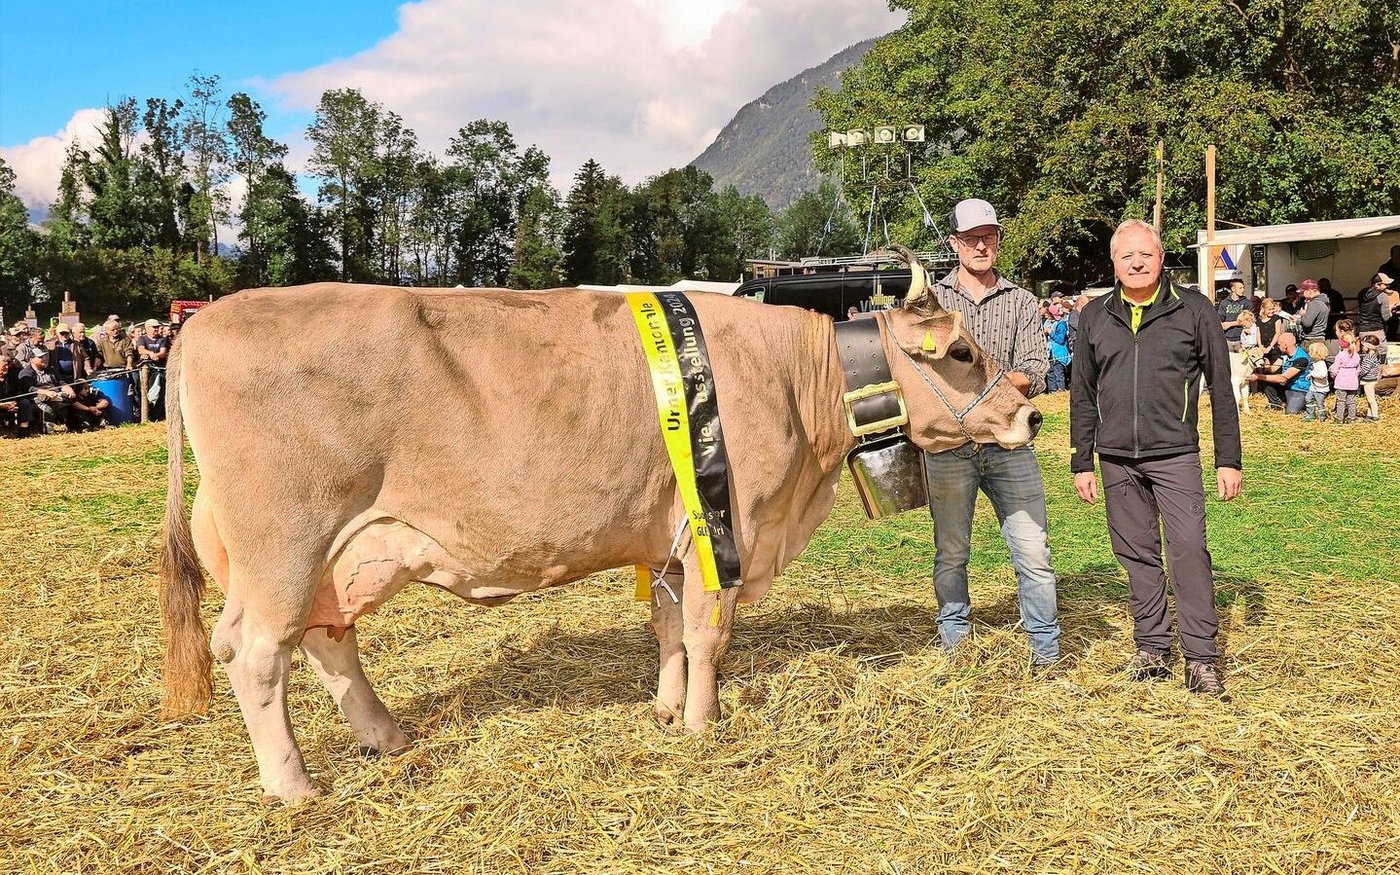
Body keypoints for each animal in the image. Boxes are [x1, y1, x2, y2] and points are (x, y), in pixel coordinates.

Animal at [161, 254, 1042, 800]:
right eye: (962, 352)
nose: (1030, 411)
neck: (799, 384)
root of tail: (199, 325)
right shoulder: (731, 526)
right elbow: (709, 633)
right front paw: (702, 726)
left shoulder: (673, 536)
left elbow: (670, 630)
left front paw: (666, 709)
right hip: (284, 543)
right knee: (254, 651)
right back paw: (294, 784)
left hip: (340, 552)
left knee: (326, 637)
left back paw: (385, 734)